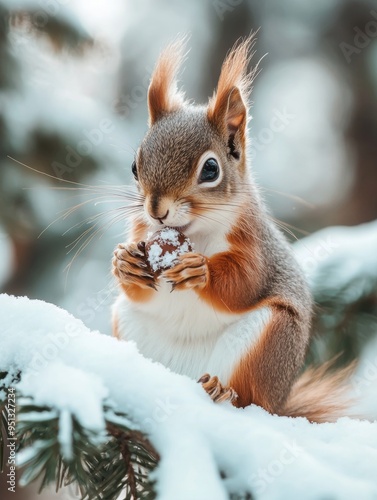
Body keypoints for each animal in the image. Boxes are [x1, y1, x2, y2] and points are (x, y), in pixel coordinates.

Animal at [111, 34, 352, 422]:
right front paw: (124, 263)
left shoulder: (254, 242)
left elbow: (245, 282)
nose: (157, 210)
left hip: (265, 340)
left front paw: (201, 272)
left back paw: (222, 389)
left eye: (211, 169)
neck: (193, 232)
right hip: (129, 323)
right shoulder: (141, 231)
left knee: (249, 397)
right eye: (135, 166)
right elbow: (138, 287)